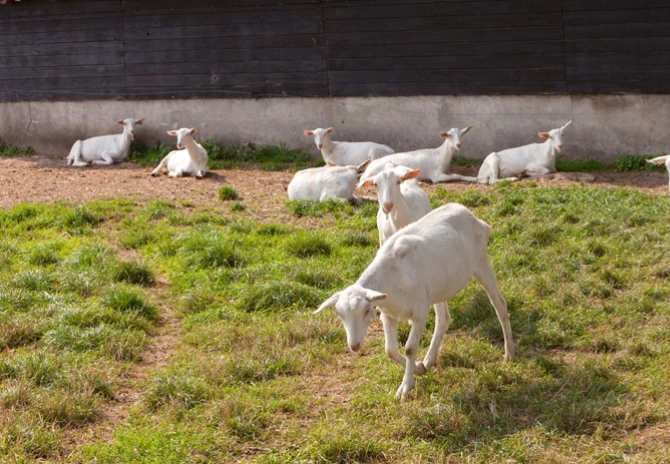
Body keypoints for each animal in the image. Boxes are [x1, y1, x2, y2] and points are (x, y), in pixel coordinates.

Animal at [318, 203, 516, 398]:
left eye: (366, 311)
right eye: (340, 315)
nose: (354, 346)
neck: (392, 276)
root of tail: (476, 219)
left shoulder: (420, 311)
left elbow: (409, 349)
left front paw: (406, 387)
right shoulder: (388, 315)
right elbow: (390, 350)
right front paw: (418, 368)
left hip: (481, 263)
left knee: (499, 305)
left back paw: (510, 353)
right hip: (439, 287)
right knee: (443, 319)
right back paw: (428, 360)